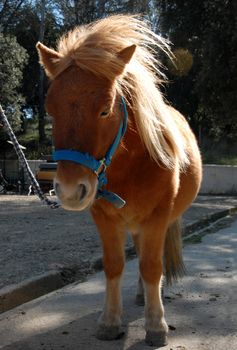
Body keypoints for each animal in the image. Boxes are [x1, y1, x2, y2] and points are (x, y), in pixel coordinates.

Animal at [36, 14, 202, 348]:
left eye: (104, 110)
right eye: (50, 111)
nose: (70, 191)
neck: (130, 166)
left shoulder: (157, 218)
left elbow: (152, 267)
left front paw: (156, 324)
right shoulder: (104, 218)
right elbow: (114, 266)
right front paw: (110, 321)